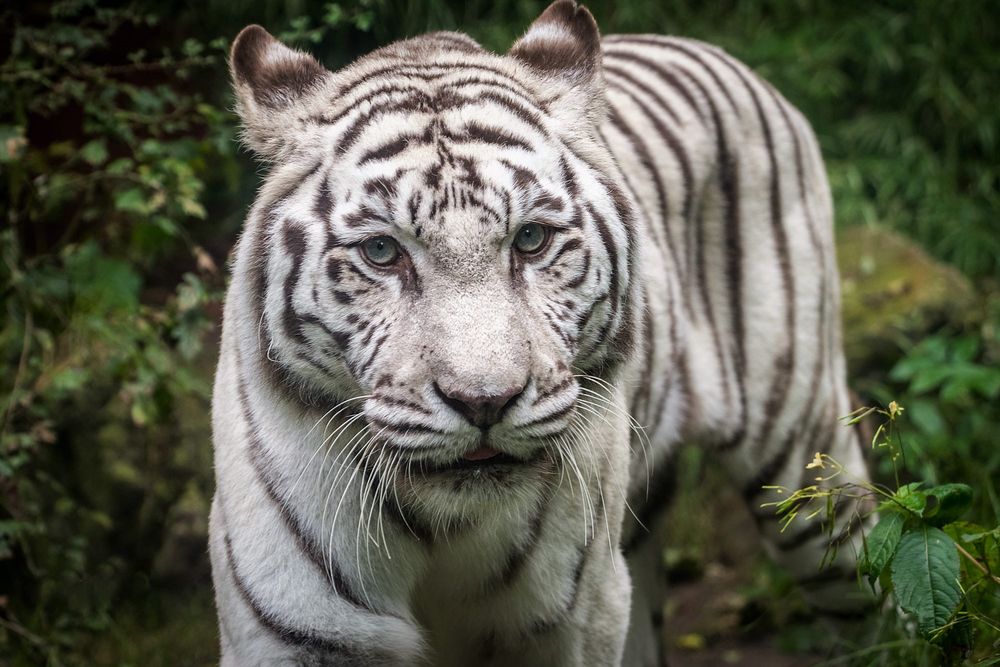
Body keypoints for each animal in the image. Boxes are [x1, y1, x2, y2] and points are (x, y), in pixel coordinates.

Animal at [209, 1, 873, 665]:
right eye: (381, 251)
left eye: (530, 239)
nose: (484, 402)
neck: (444, 526)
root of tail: (705, 49)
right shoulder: (299, 632)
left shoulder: (575, 617)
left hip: (809, 478)